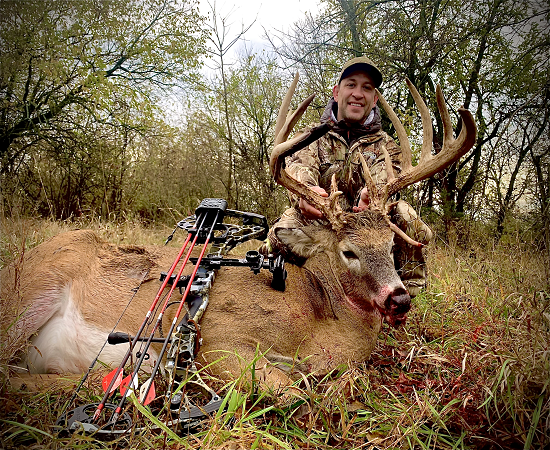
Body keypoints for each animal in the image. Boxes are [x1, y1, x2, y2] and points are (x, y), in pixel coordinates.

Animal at [1, 74, 478, 386]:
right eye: (349, 251)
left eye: (390, 242)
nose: (399, 298)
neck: (321, 323)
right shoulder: (218, 341)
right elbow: (289, 392)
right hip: (30, 291)